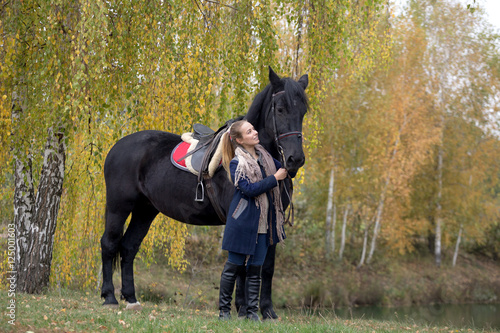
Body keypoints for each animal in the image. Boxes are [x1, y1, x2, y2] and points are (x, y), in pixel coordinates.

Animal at [99, 65, 306, 316]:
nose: (295, 159)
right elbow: (243, 266)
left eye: (303, 111)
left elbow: (266, 267)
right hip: (119, 206)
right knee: (109, 243)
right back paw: (109, 296)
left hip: (145, 211)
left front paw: (266, 311)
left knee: (129, 247)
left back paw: (131, 298)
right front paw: (243, 309)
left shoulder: (271, 220)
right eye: (280, 109)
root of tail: (117, 147)